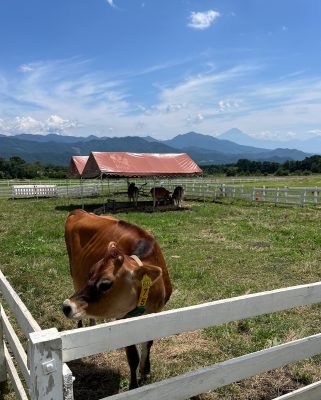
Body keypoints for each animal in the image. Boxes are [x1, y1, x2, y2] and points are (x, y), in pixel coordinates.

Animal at [63, 209, 172, 390]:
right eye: (90, 273)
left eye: (105, 284)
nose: (66, 306)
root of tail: (79, 211)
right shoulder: (122, 317)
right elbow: (133, 356)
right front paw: (134, 385)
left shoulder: (156, 313)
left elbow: (148, 343)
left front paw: (146, 372)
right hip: (73, 272)